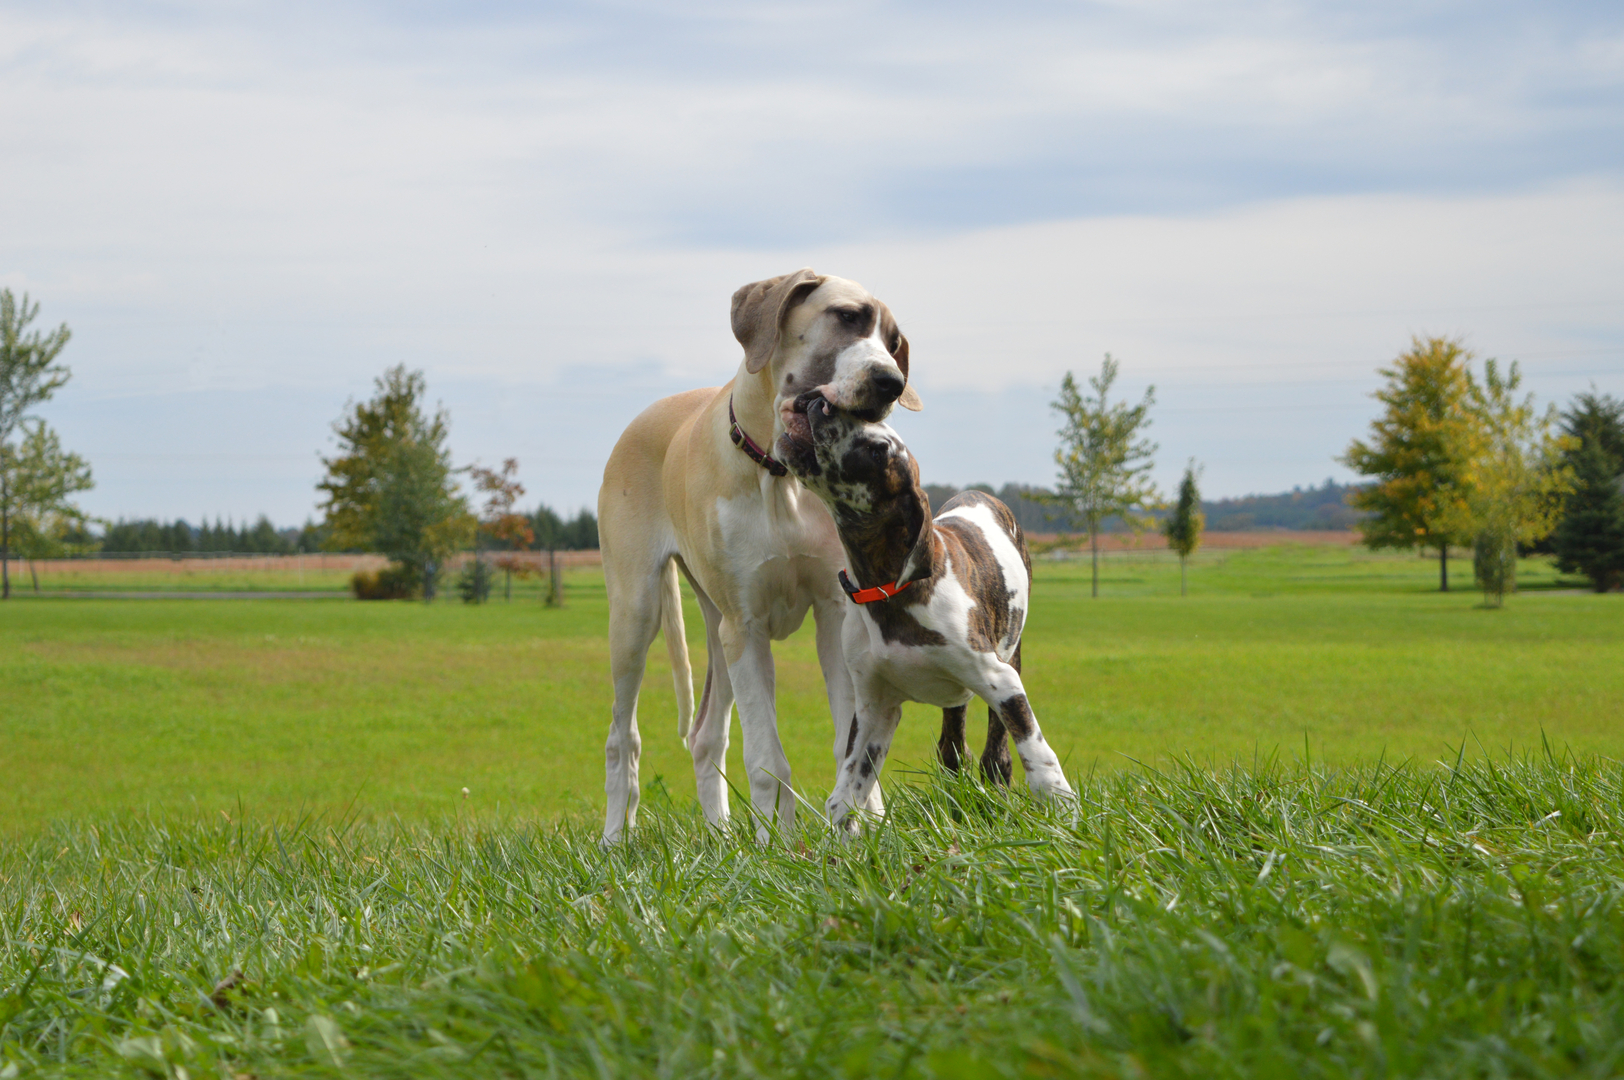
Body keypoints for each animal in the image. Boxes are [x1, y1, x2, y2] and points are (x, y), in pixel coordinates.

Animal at [786, 399, 1078, 828]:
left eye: (879, 449)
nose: (819, 402)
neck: (887, 589)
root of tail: (979, 493)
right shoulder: (874, 709)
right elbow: (847, 793)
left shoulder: (1001, 680)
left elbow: (1036, 752)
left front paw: (1061, 805)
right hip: (954, 700)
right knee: (953, 748)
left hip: (1009, 657)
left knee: (995, 752)